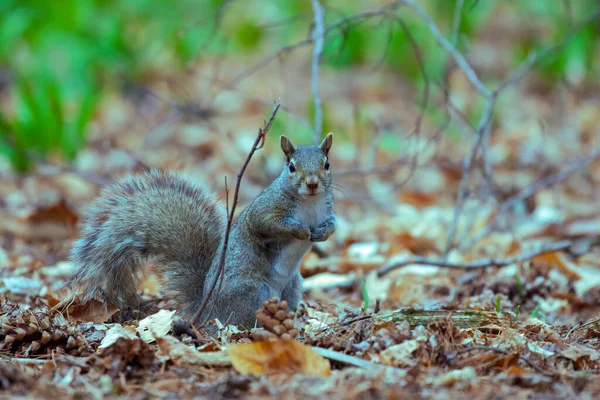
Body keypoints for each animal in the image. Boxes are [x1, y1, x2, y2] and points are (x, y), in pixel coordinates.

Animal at [69, 133, 338, 326]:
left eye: (326, 164)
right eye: (291, 166)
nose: (312, 184)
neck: (309, 203)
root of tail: (207, 311)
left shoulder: (327, 210)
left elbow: (333, 223)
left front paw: (323, 233)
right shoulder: (264, 211)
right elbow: (268, 224)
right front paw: (301, 231)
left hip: (292, 288)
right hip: (252, 293)